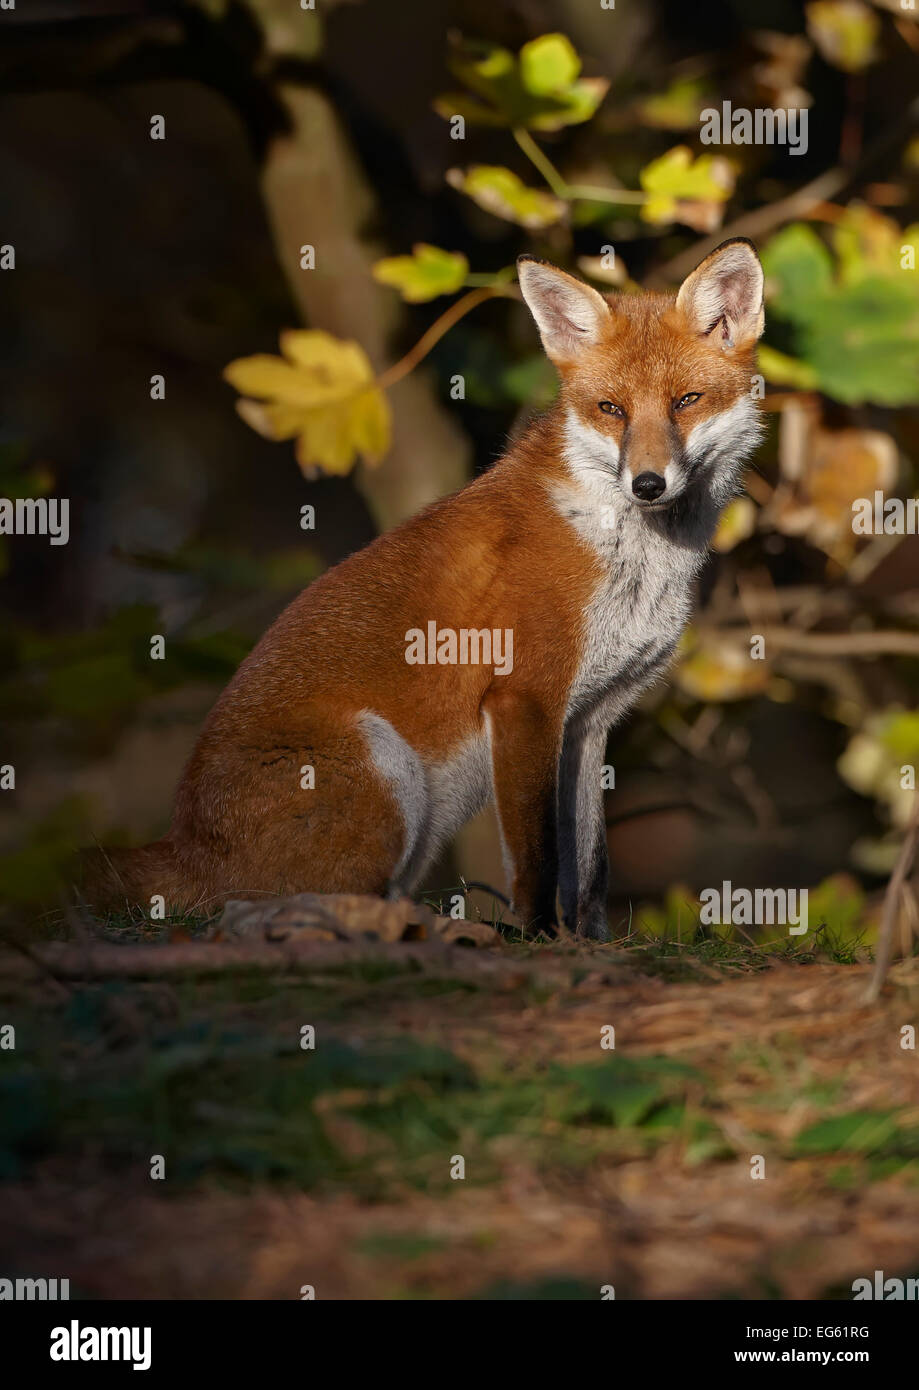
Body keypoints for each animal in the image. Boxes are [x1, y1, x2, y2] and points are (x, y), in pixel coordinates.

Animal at [86, 239, 761, 939]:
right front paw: (537, 938)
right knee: (285, 904)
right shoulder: (524, 700)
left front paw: (589, 943)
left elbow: (591, 865)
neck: (629, 556)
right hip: (387, 768)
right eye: (612, 410)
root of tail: (185, 842)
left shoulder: (589, 720)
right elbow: (538, 858)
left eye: (686, 400)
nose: (648, 484)